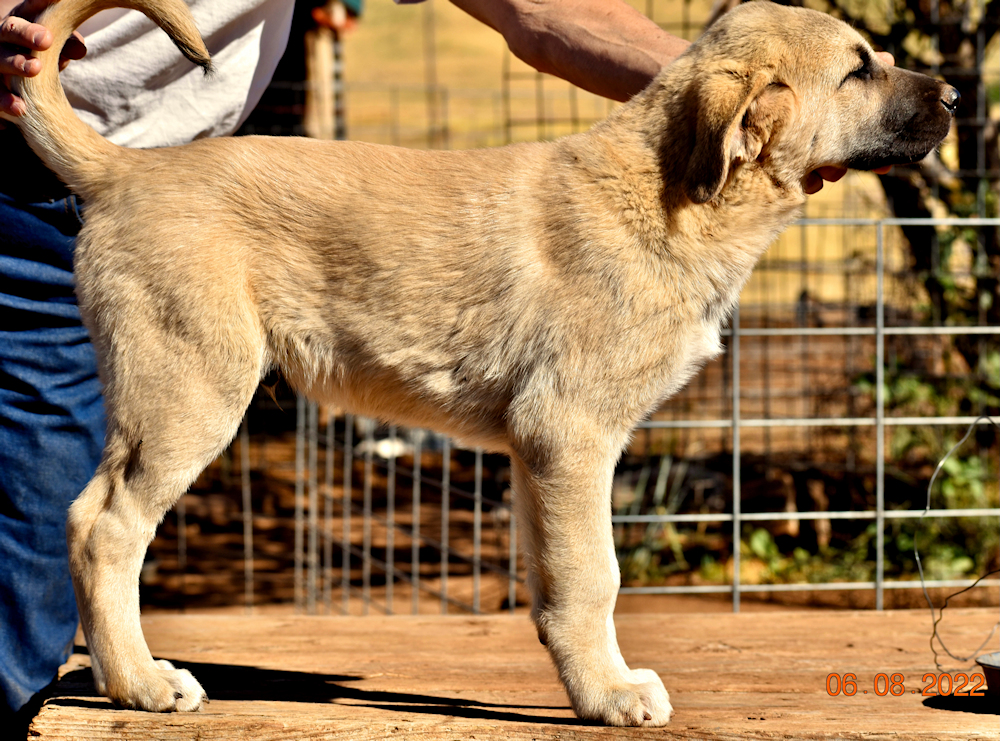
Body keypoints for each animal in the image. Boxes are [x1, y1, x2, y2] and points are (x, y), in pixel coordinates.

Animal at [9, 0, 960, 724]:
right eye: (859, 70)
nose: (957, 93)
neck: (674, 196)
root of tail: (127, 172)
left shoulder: (539, 453)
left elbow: (555, 580)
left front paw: (580, 679)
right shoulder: (571, 432)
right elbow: (596, 575)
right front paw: (612, 694)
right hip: (190, 388)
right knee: (101, 525)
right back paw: (139, 682)